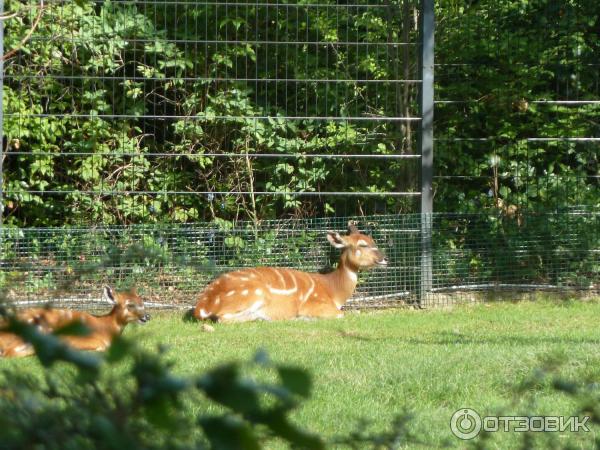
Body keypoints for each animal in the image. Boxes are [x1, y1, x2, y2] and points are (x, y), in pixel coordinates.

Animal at [195, 222, 386, 324]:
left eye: (373, 240)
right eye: (362, 245)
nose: (385, 258)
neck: (333, 290)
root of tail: (202, 307)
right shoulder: (316, 304)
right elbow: (341, 314)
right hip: (256, 293)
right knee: (222, 318)